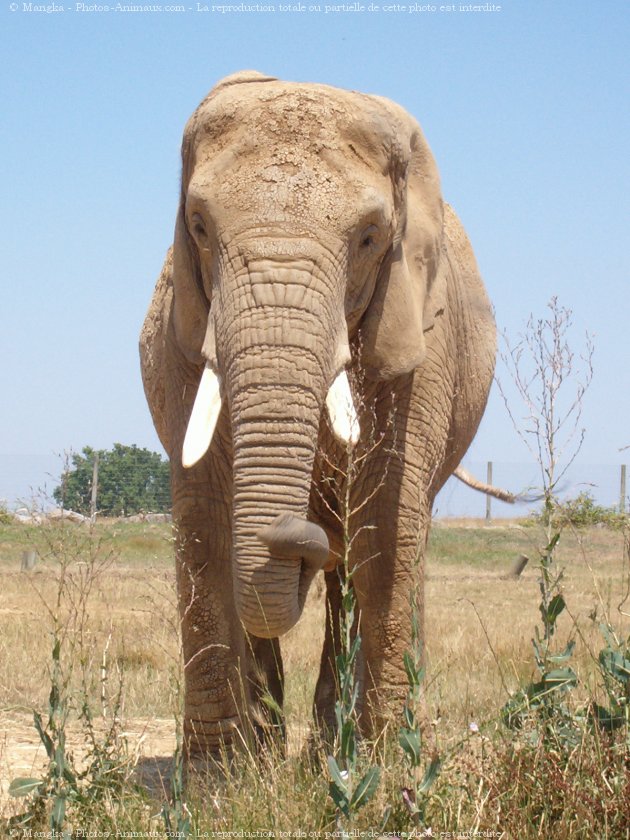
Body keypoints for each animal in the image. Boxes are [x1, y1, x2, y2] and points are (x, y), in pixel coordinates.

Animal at [139, 69, 498, 756]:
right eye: (199, 225)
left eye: (369, 238)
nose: (298, 535)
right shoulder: (182, 336)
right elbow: (205, 522)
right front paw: (223, 775)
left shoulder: (421, 344)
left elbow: (387, 527)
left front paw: (388, 767)